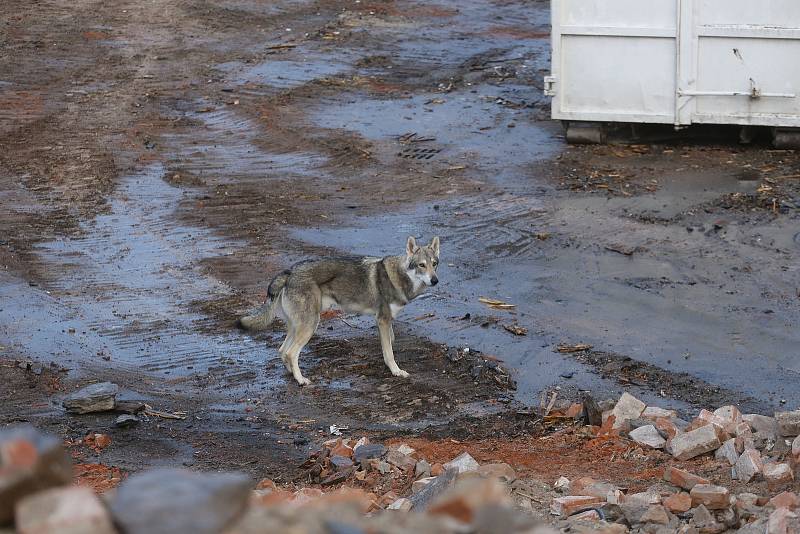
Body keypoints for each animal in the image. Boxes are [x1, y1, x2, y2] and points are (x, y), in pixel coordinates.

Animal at [238, 238, 440, 386]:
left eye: (434, 264)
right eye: (421, 265)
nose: (435, 280)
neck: (400, 276)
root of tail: (289, 272)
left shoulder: (387, 322)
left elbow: (390, 343)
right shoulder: (382, 320)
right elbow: (389, 353)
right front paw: (396, 371)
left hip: (298, 326)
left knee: (282, 350)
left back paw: (291, 374)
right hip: (310, 325)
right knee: (290, 353)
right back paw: (301, 380)